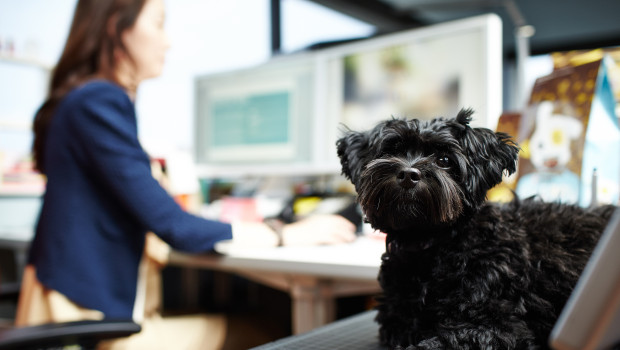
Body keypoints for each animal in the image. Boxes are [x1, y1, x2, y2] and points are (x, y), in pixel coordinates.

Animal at [336, 109, 612, 350]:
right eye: (392, 151)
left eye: (444, 160)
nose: (408, 174)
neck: (432, 246)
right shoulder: (397, 322)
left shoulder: (498, 327)